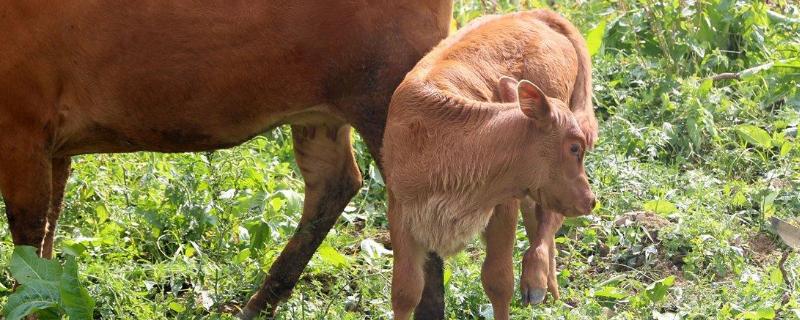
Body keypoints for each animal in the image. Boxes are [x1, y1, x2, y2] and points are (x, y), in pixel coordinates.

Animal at [0, 1, 450, 318]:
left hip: (388, 98)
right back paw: (257, 306)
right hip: (322, 112)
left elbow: (27, 244)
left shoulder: (21, 125)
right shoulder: (49, 140)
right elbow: (45, 242)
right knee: (336, 182)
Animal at [384, 10, 596, 320]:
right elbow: (405, 290)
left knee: (549, 219)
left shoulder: (503, 205)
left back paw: (536, 280)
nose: (591, 200)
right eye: (574, 147)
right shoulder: (400, 211)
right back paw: (550, 287)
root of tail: (533, 14)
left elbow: (498, 281)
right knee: (539, 216)